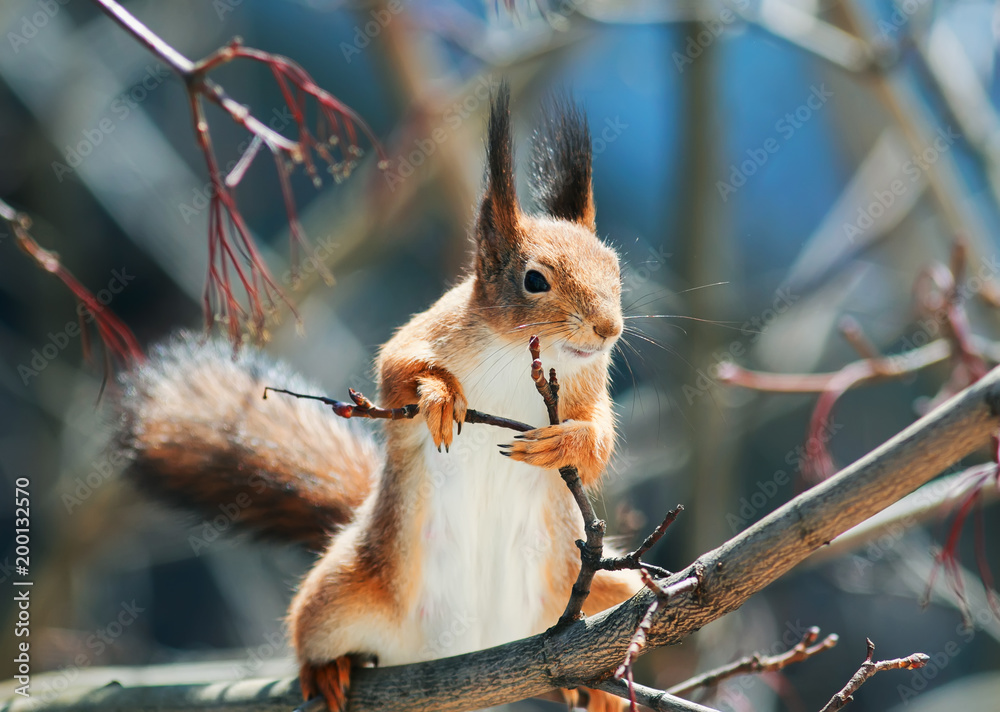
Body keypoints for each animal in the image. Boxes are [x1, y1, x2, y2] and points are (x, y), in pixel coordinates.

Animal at [115, 82, 640, 708]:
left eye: (615, 269)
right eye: (534, 280)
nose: (608, 330)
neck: (523, 359)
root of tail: (475, 644)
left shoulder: (586, 385)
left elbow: (601, 438)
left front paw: (563, 442)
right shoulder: (431, 332)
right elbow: (397, 370)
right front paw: (440, 398)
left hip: (605, 586)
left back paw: (601, 689)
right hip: (341, 593)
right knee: (311, 629)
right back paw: (326, 671)